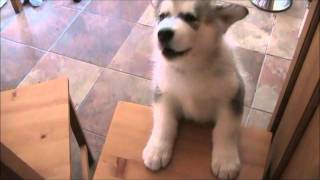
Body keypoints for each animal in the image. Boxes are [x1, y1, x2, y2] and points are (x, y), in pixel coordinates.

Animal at [144, 0, 249, 179]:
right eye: (162, 16)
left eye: (189, 18)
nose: (162, 34)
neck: (190, 68)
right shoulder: (163, 93)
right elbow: (164, 122)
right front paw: (157, 150)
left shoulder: (233, 95)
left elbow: (226, 129)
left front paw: (226, 161)